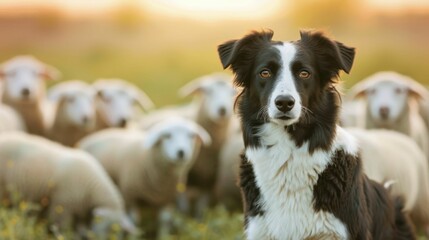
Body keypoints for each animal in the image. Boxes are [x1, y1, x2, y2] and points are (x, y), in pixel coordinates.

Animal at [77, 118, 211, 223]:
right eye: (167, 136)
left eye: (191, 136)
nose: (181, 152)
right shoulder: (131, 195)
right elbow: (134, 220)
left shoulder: (166, 199)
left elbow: (164, 221)